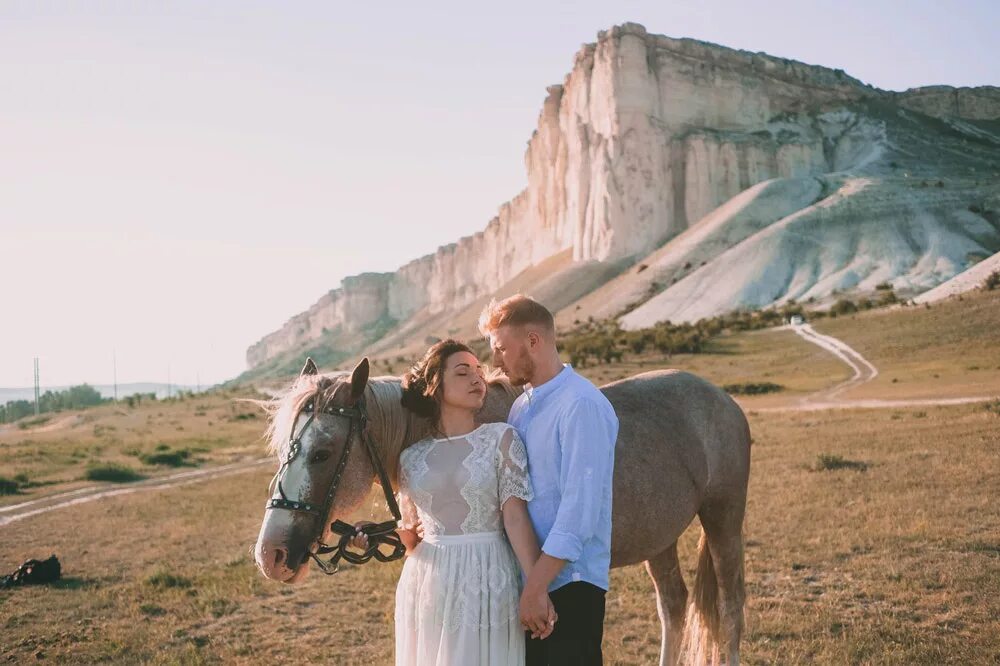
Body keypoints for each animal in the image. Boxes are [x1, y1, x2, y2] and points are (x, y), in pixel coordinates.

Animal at [254, 358, 748, 664]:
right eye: (283, 450)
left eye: (322, 453)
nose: (269, 554)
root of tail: (720, 397)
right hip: (660, 537)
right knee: (674, 606)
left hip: (724, 516)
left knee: (729, 607)